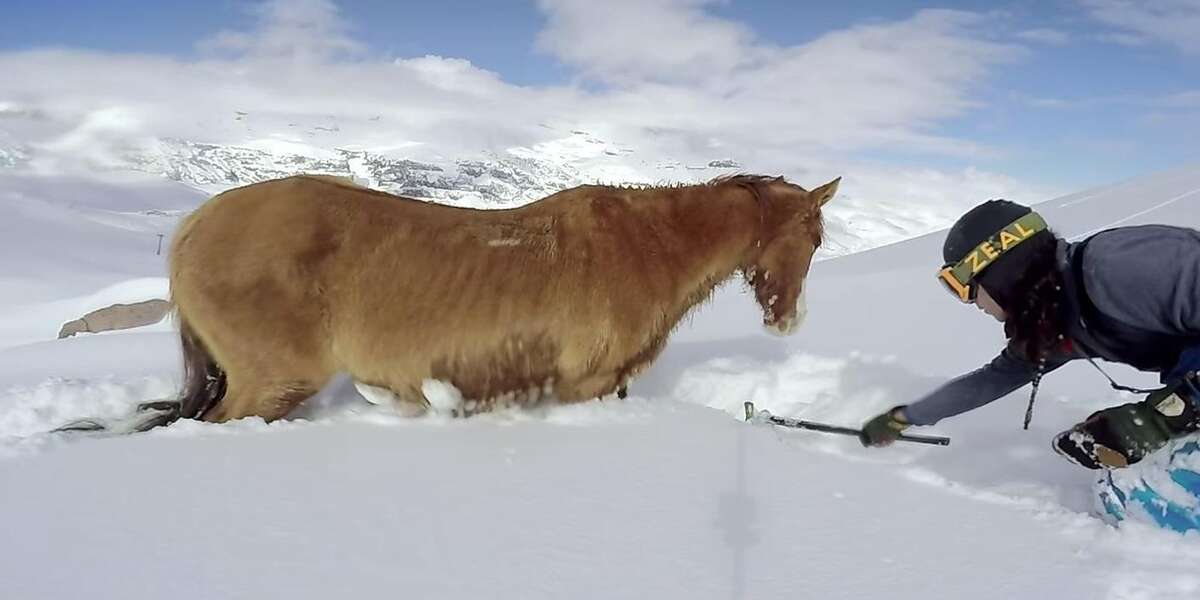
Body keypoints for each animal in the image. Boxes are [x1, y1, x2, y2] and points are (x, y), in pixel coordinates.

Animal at [161, 172, 838, 424]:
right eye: (814, 236)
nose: (789, 321)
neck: (647, 245)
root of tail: (195, 226)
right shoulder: (584, 384)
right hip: (272, 384)